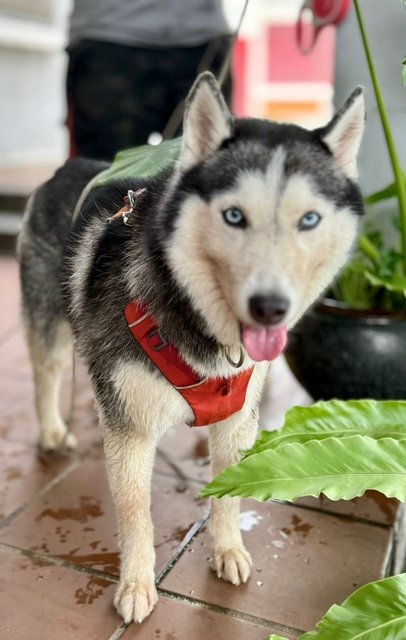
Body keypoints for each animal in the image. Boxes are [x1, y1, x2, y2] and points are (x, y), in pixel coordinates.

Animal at [18, 72, 364, 624]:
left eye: (309, 220)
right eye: (234, 216)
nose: (271, 307)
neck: (203, 328)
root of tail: (68, 165)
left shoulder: (237, 422)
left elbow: (229, 493)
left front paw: (227, 550)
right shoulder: (132, 432)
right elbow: (135, 513)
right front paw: (136, 585)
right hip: (48, 320)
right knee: (46, 374)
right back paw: (52, 430)